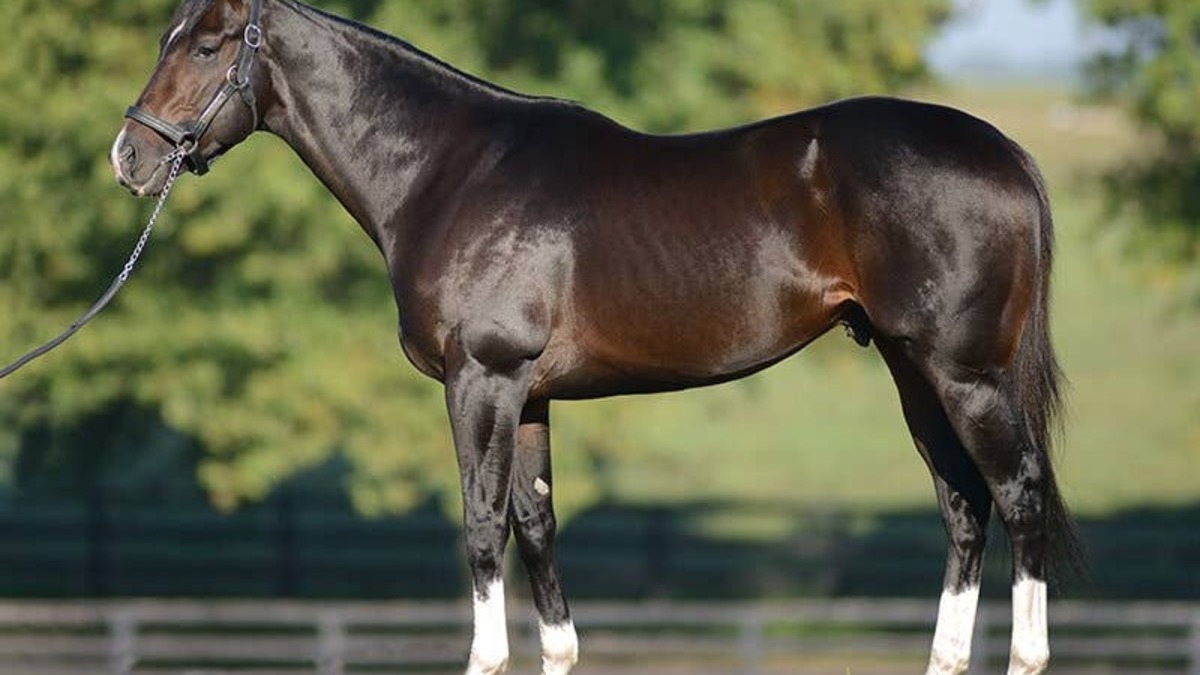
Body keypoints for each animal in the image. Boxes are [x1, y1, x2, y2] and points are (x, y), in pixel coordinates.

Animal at [111, 1, 1082, 673]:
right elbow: (538, 527)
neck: (448, 171)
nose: (129, 157)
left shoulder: (482, 379)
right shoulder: (531, 394)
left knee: (1020, 494)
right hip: (915, 371)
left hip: (966, 373)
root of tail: (1005, 151)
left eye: (207, 45)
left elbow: (482, 526)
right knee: (965, 507)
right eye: (164, 36)